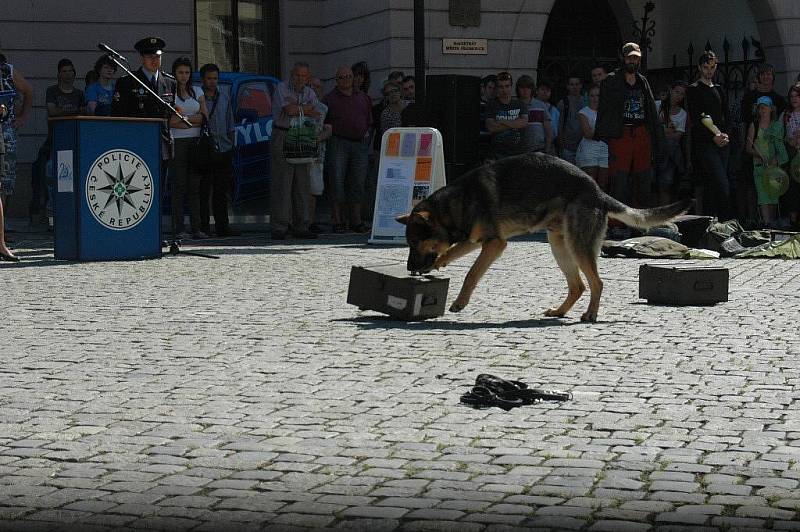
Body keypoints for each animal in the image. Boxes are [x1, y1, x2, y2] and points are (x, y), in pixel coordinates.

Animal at [396, 152, 692, 322]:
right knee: (578, 286)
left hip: (577, 246)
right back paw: (560, 312)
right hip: (559, 247)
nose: (409, 268)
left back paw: (590, 314)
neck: (457, 203)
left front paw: (459, 302)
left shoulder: (494, 243)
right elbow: (450, 251)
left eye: (414, 243)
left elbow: (471, 273)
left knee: (596, 283)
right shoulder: (474, 240)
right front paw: (437, 264)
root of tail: (597, 191)